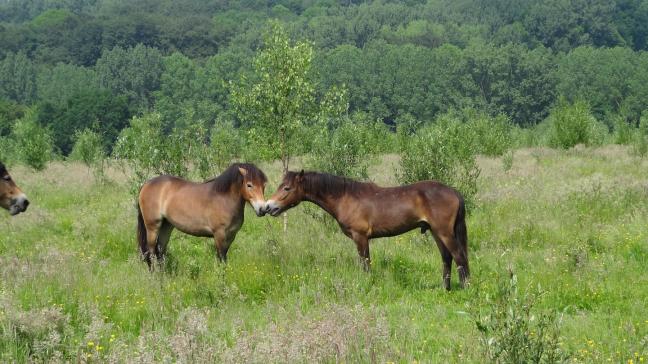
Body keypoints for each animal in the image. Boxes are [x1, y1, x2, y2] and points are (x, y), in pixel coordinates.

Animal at [137, 162, 268, 268]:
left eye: (263, 185)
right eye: (249, 185)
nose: (262, 209)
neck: (224, 199)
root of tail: (146, 184)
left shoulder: (231, 236)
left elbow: (224, 258)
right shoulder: (219, 235)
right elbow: (221, 258)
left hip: (166, 226)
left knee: (160, 250)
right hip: (152, 227)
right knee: (151, 251)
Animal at [264, 171, 470, 290]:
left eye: (287, 188)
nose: (269, 207)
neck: (345, 197)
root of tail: (454, 192)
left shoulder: (361, 237)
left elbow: (365, 264)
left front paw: (367, 285)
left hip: (444, 232)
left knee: (459, 256)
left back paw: (465, 287)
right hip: (436, 232)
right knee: (447, 258)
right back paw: (445, 288)